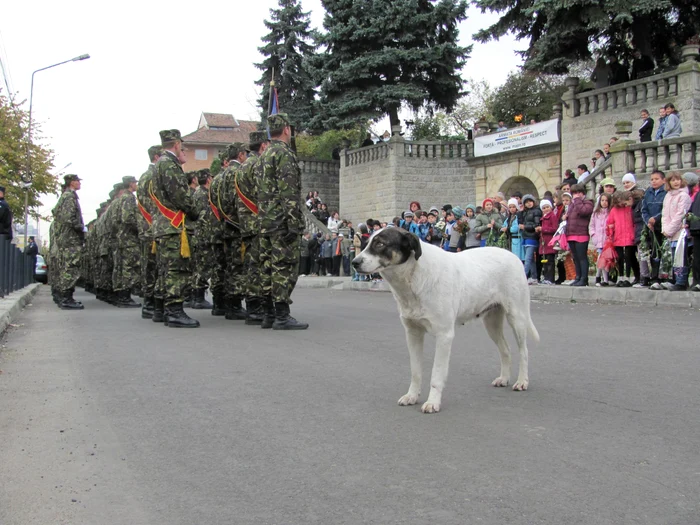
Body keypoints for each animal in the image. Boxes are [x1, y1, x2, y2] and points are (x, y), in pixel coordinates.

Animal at [350, 227, 540, 412]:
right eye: (366, 243)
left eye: (380, 244)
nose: (354, 262)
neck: (414, 276)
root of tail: (512, 255)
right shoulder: (412, 334)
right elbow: (415, 371)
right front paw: (412, 396)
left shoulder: (444, 335)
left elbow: (437, 374)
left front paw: (433, 402)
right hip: (491, 322)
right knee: (505, 349)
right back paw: (504, 378)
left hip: (517, 317)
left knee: (524, 351)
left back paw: (522, 381)